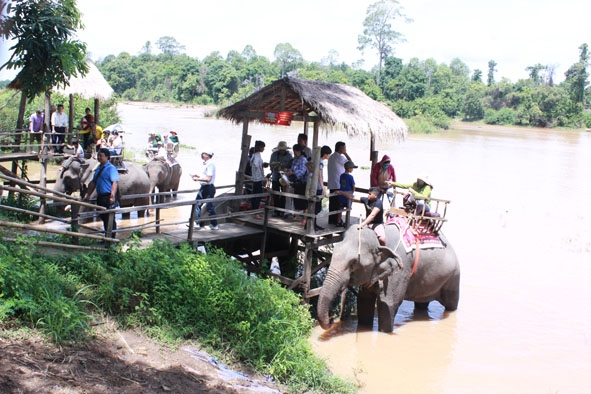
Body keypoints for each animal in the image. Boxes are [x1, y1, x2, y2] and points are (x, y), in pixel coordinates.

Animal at [320, 225, 462, 332]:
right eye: (333, 253)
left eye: (353, 263)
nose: (332, 319)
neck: (379, 241)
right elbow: (364, 301)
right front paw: (364, 328)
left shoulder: (400, 270)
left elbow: (387, 304)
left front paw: (384, 332)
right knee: (421, 304)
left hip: (454, 277)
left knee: (451, 304)